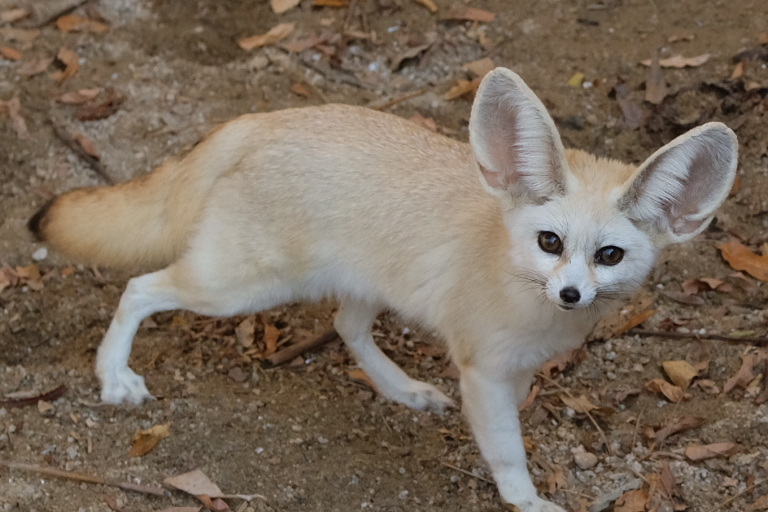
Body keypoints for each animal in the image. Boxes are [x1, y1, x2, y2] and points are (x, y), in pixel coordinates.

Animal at [28, 69, 736, 512]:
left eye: (609, 256)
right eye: (550, 242)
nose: (570, 296)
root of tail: (263, 119)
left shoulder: (517, 370)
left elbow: (511, 422)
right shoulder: (482, 371)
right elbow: (506, 451)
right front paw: (526, 499)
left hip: (362, 283)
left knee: (345, 327)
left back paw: (403, 389)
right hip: (236, 287)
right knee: (139, 287)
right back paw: (113, 376)